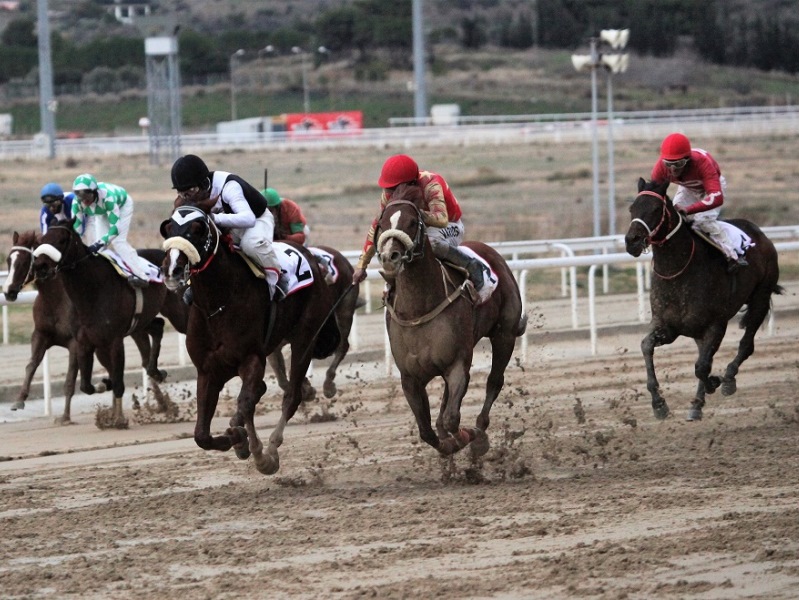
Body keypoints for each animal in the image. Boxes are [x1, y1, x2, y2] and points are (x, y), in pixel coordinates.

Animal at [30, 221, 184, 426]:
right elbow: (85, 385)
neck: (92, 291)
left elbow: (119, 383)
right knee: (158, 326)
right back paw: (156, 371)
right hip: (141, 322)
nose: (40, 265)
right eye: (42, 239)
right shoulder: (84, 342)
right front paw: (105, 384)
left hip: (178, 312)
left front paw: (118, 419)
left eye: (62, 240)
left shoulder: (115, 340)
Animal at [159, 204, 340, 476]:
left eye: (198, 229)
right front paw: (237, 439)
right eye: (169, 228)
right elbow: (201, 435)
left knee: (291, 397)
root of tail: (311, 257)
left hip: (304, 339)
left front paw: (254, 450)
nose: (172, 270)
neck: (218, 303)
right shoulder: (208, 370)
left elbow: (245, 405)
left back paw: (271, 449)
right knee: (262, 392)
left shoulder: (251, 358)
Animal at [270, 246, 368, 400]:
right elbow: (279, 372)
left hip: (344, 308)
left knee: (343, 345)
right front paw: (306, 389)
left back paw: (328, 386)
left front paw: (307, 389)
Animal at [376, 183, 528, 454]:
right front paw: (446, 443)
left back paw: (479, 430)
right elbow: (426, 430)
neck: (418, 310)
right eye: (382, 223)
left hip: (504, 334)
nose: (389, 256)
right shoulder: (410, 377)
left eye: (412, 221)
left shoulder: (457, 363)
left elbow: (452, 418)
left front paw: (470, 437)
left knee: (494, 381)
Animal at [624, 179, 780, 422]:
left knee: (746, 344)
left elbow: (702, 367)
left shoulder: (715, 325)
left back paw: (727, 380)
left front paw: (714, 383)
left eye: (656, 209)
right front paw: (659, 403)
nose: (632, 241)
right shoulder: (667, 326)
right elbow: (646, 346)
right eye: (632, 208)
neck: (678, 272)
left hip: (761, 298)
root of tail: (759, 233)